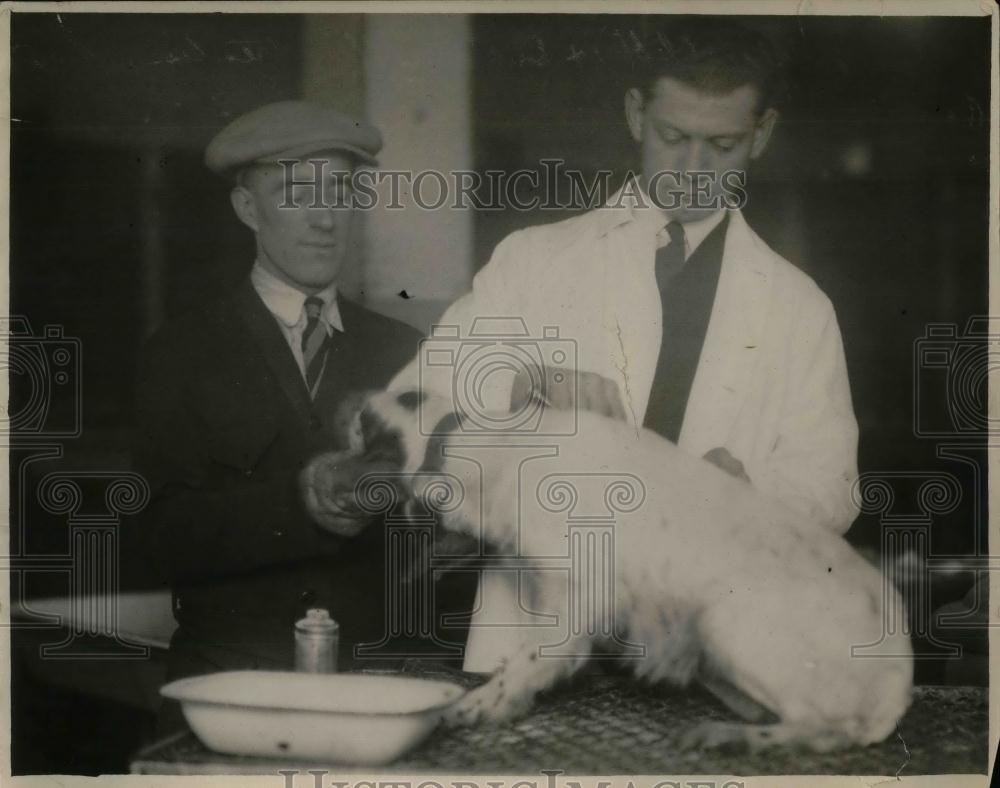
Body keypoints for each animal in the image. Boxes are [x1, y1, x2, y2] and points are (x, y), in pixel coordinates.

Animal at [304, 390, 916, 756]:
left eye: (368, 421)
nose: (337, 398)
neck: (499, 452)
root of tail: (898, 687)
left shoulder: (578, 598)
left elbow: (526, 663)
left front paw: (476, 706)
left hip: (727, 621)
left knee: (828, 729)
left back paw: (730, 737)